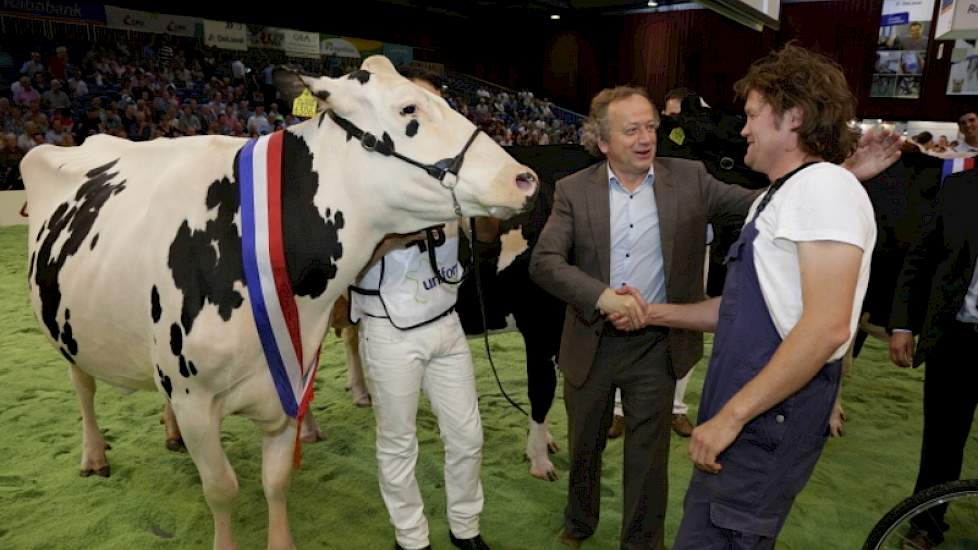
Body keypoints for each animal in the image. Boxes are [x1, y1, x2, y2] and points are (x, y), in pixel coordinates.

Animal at [19, 57, 536, 550]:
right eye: (409, 109)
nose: (525, 178)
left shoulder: (289, 377)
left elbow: (276, 481)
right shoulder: (194, 398)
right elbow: (222, 489)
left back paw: (168, 434)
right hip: (64, 326)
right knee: (83, 386)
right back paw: (93, 455)